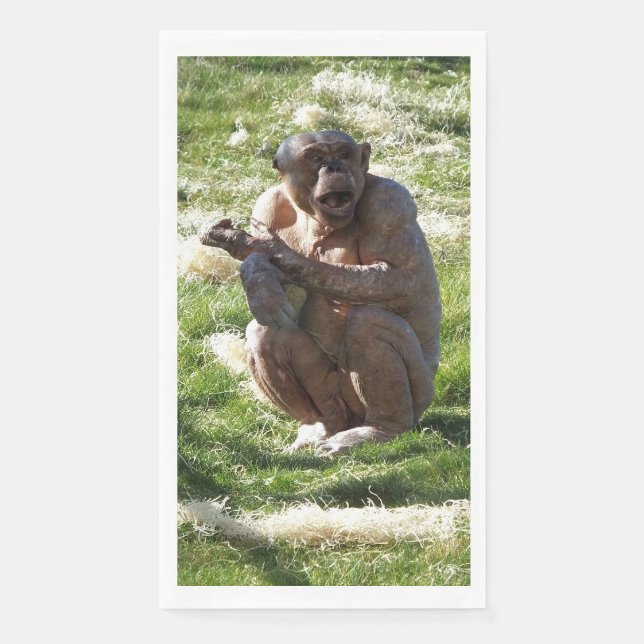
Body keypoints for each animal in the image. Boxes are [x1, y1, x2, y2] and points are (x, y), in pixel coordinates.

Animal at [201, 130, 441, 455]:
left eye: (343, 154)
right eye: (316, 158)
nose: (334, 167)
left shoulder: (391, 203)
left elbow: (399, 279)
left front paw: (269, 250)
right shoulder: (267, 204)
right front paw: (258, 272)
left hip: (420, 395)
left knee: (370, 323)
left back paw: (380, 430)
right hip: (337, 404)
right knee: (267, 332)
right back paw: (318, 427)